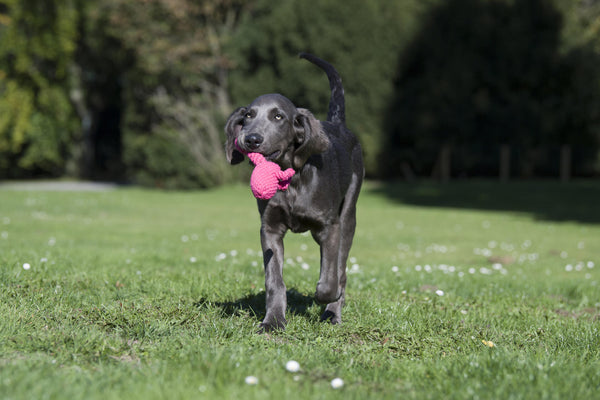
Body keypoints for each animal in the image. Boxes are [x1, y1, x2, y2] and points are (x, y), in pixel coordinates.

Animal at [225, 54, 364, 332]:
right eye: (248, 115)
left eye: (278, 117)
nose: (251, 139)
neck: (290, 180)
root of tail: (338, 124)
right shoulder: (270, 229)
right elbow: (274, 280)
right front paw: (273, 320)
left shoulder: (329, 226)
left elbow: (330, 277)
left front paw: (327, 297)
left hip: (349, 214)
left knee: (341, 268)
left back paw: (333, 312)